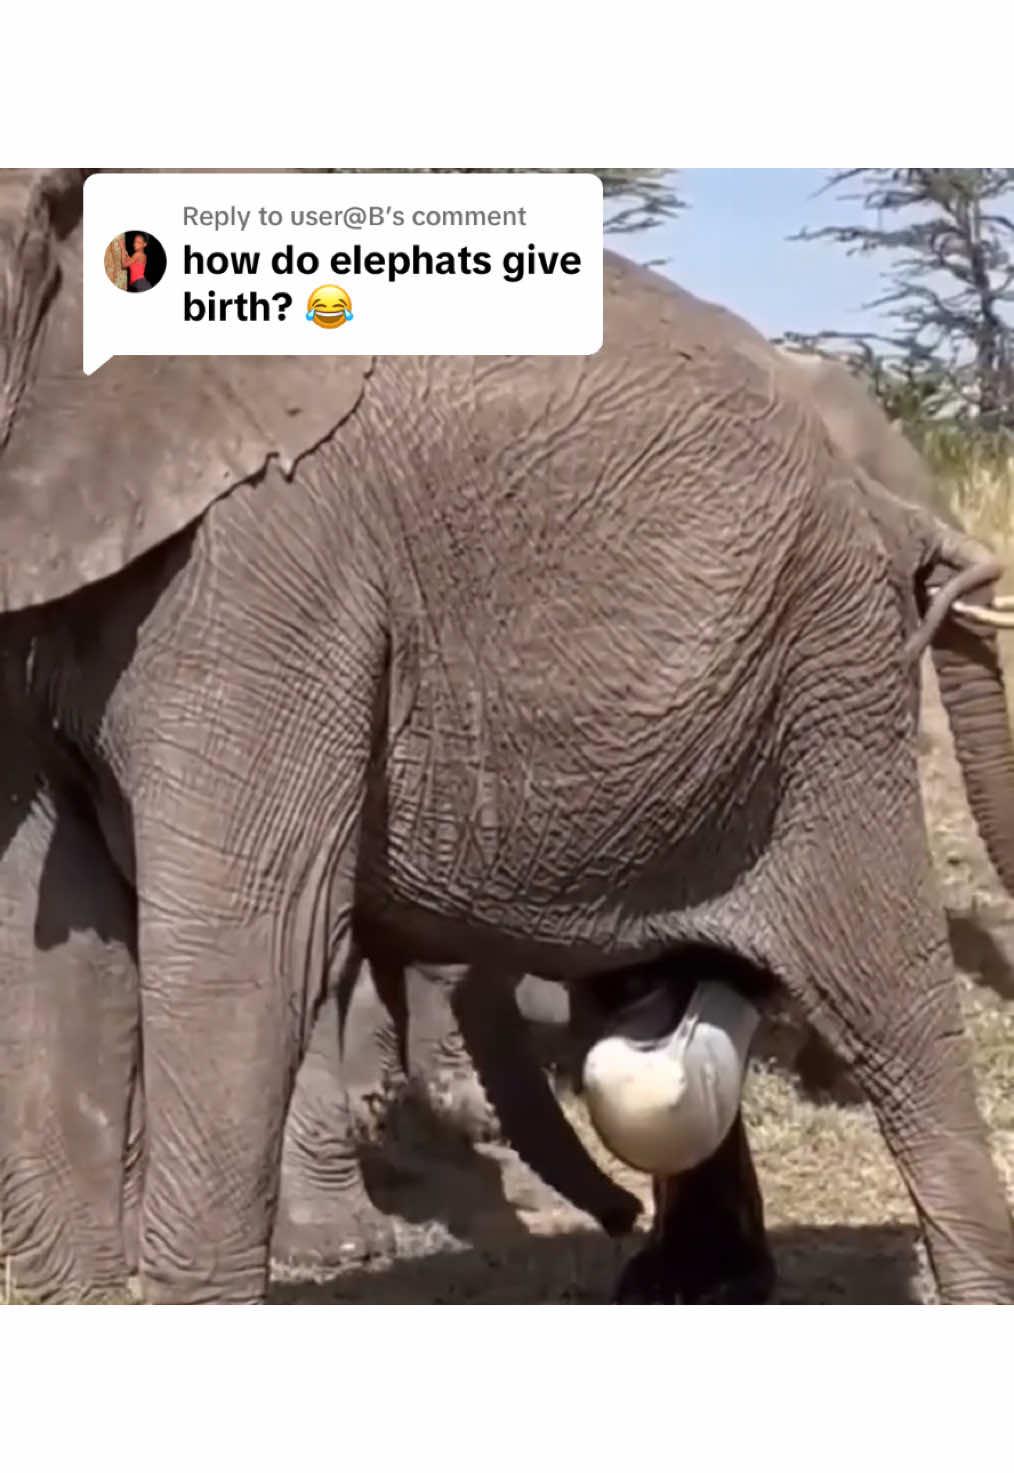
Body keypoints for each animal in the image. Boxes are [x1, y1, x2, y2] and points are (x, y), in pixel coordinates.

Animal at [2, 167, 1013, 1305]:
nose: (609, 1216)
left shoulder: (270, 565)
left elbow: (244, 945)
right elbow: (42, 958)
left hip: (826, 686)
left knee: (898, 1015)